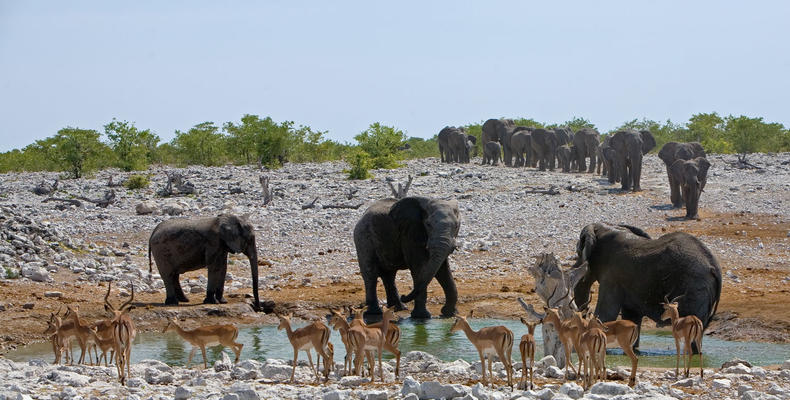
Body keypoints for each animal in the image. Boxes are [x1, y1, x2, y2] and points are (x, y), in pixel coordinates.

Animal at [568, 223, 724, 348]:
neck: (602, 229)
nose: (585, 311)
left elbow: (606, 313)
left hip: (695, 289)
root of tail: (715, 267)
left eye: (579, 253)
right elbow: (631, 317)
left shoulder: (612, 275)